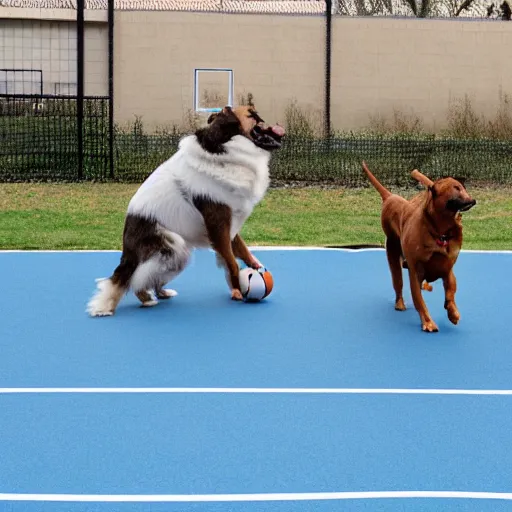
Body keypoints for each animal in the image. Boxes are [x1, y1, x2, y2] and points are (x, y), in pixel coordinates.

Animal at [87, 105, 284, 316]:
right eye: (251, 114)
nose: (260, 114)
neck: (222, 145)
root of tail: (127, 248)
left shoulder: (231, 222)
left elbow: (242, 250)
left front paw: (253, 265)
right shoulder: (218, 222)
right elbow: (231, 261)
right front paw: (237, 290)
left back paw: (162, 293)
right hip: (172, 248)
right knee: (134, 279)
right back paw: (147, 299)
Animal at [362, 162, 478, 334]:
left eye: (463, 188)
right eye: (456, 188)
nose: (473, 199)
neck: (439, 232)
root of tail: (391, 197)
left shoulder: (448, 269)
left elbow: (450, 292)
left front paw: (452, 312)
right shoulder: (415, 272)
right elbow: (419, 301)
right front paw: (428, 322)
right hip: (393, 256)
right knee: (397, 282)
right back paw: (399, 303)